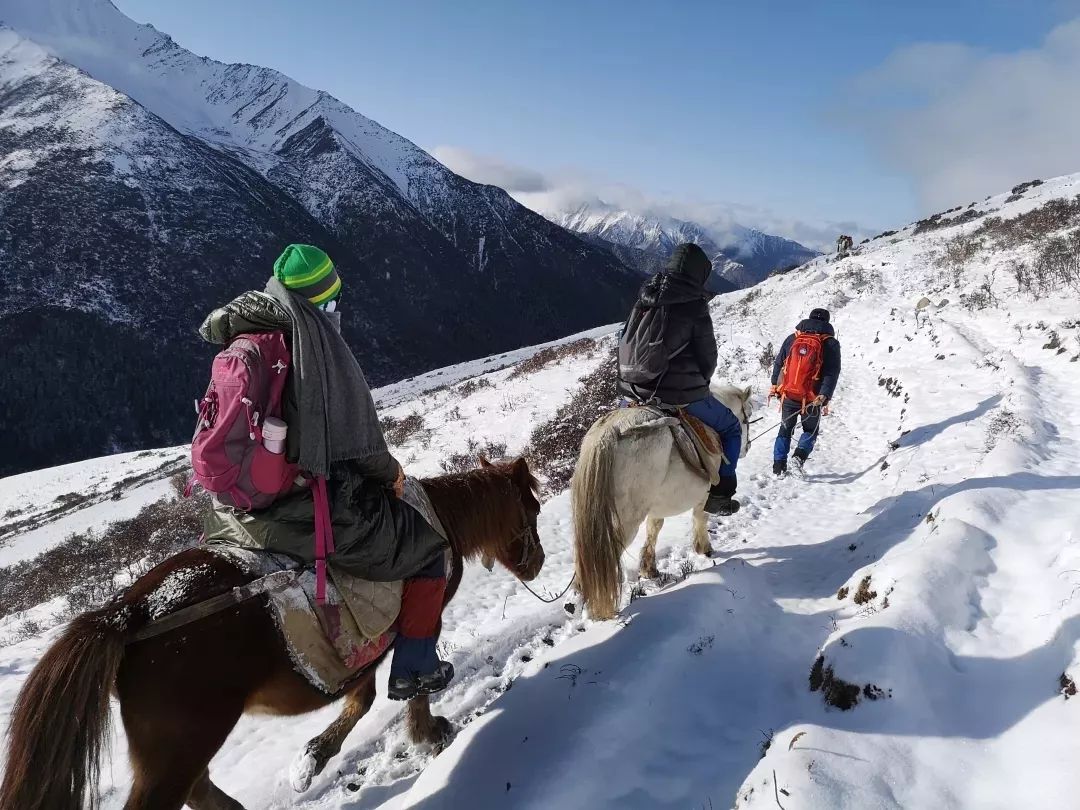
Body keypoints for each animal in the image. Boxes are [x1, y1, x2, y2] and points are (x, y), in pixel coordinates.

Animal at [0, 460, 540, 807]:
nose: (535, 563)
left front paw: (313, 758)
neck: (439, 523)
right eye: (532, 511)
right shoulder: (415, 625)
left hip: (174, 751)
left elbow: (361, 696)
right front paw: (428, 733)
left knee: (202, 791)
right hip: (179, 748)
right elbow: (408, 686)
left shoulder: (360, 651)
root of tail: (129, 613)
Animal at [574, 384, 751, 617]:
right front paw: (704, 548)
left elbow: (654, 529)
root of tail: (609, 435)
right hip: (624, 519)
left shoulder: (656, 506)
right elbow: (700, 517)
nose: (747, 447)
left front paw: (649, 569)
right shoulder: (704, 494)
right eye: (748, 416)